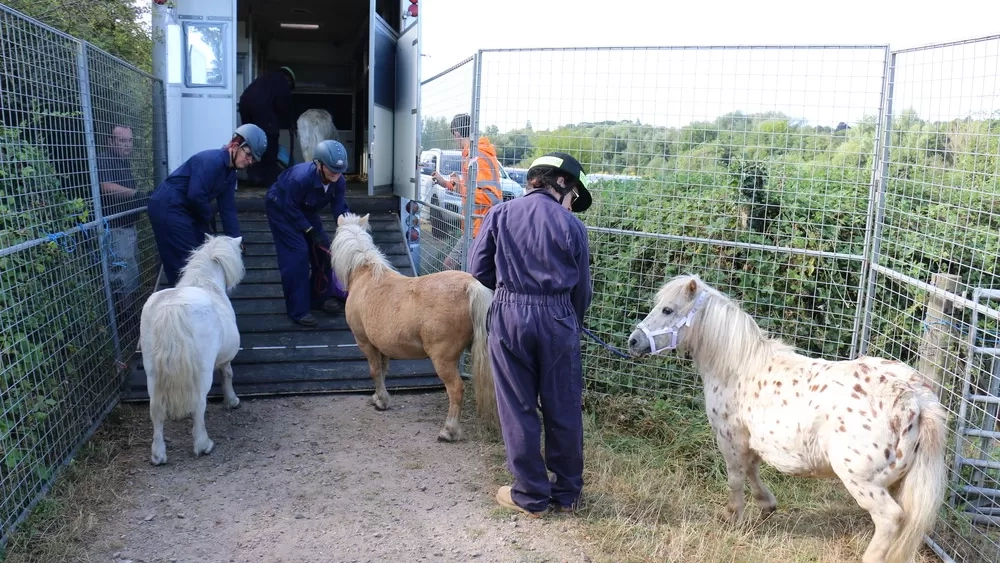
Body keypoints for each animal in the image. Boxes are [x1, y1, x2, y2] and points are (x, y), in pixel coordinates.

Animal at [140, 235, 247, 468]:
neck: (206, 282)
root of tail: (172, 308)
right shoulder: (225, 360)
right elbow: (227, 374)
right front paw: (231, 401)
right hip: (202, 372)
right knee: (198, 404)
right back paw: (203, 444)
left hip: (152, 372)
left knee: (155, 409)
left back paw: (158, 454)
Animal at [330, 212, 498, 440]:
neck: (366, 274)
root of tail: (470, 285)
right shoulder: (382, 347)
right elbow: (383, 371)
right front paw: (380, 397)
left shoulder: (365, 342)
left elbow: (374, 371)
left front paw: (380, 400)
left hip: (442, 359)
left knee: (456, 389)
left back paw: (449, 430)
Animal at [628, 276, 948, 563]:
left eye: (667, 309)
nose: (633, 341)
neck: (738, 366)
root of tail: (912, 396)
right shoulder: (753, 441)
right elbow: (753, 471)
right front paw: (766, 505)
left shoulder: (730, 438)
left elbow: (736, 477)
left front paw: (733, 516)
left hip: (862, 481)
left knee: (890, 519)